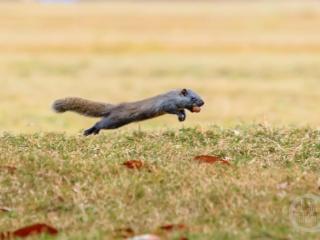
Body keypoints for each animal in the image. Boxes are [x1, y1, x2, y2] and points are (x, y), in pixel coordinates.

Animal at [51, 88, 204, 137]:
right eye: (193, 98)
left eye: (199, 95)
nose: (202, 103)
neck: (172, 96)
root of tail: (115, 107)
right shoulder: (167, 105)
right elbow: (173, 110)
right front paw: (180, 115)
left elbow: (182, 110)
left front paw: (183, 116)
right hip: (114, 121)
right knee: (99, 123)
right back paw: (89, 131)